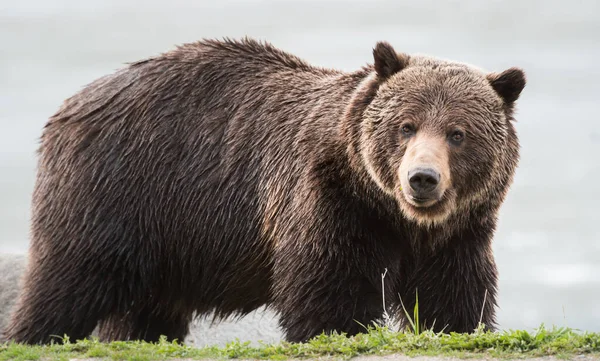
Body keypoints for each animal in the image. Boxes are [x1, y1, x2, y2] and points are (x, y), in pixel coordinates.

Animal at [2, 36, 524, 344]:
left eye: (457, 133)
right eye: (406, 126)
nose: (422, 178)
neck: (394, 213)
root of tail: (70, 104)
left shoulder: (458, 233)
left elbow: (453, 293)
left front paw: (458, 325)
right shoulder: (328, 200)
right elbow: (329, 288)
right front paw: (337, 328)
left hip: (165, 243)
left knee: (144, 308)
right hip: (115, 191)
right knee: (66, 281)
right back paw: (32, 333)